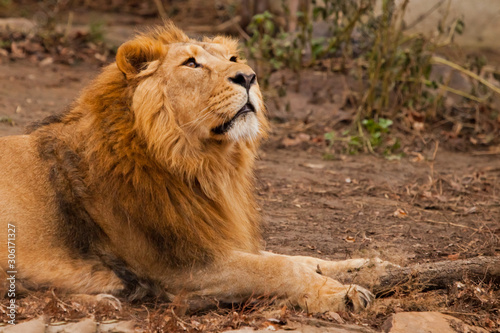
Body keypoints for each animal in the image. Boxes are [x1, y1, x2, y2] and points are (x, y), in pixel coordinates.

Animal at [0, 22, 376, 312]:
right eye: (191, 63)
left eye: (233, 59)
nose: (249, 77)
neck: (202, 165)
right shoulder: (183, 267)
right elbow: (279, 267)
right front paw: (343, 294)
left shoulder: (210, 236)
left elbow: (296, 258)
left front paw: (368, 266)